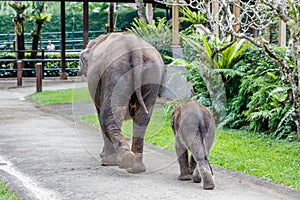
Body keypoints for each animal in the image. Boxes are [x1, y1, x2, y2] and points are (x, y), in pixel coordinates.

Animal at [79, 32, 165, 173]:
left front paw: (105, 160)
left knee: (107, 119)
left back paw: (122, 160)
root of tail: (135, 48)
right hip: (152, 74)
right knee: (142, 119)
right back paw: (136, 168)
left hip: (116, 72)